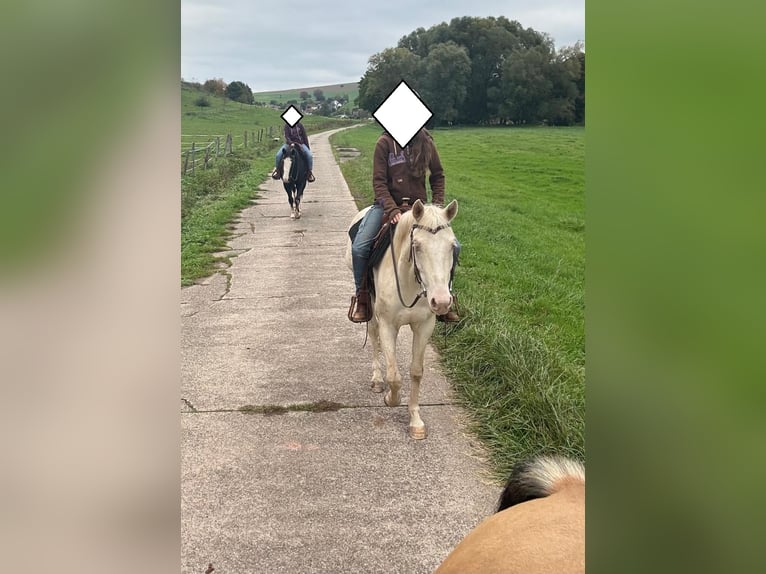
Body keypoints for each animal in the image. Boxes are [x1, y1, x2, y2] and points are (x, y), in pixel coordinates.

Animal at [344, 199, 459, 439]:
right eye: (417, 246)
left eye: (452, 247)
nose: (442, 302)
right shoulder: (389, 325)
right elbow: (394, 376)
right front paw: (390, 398)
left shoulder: (424, 326)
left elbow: (416, 372)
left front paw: (415, 420)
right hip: (371, 306)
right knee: (374, 337)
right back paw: (377, 380)